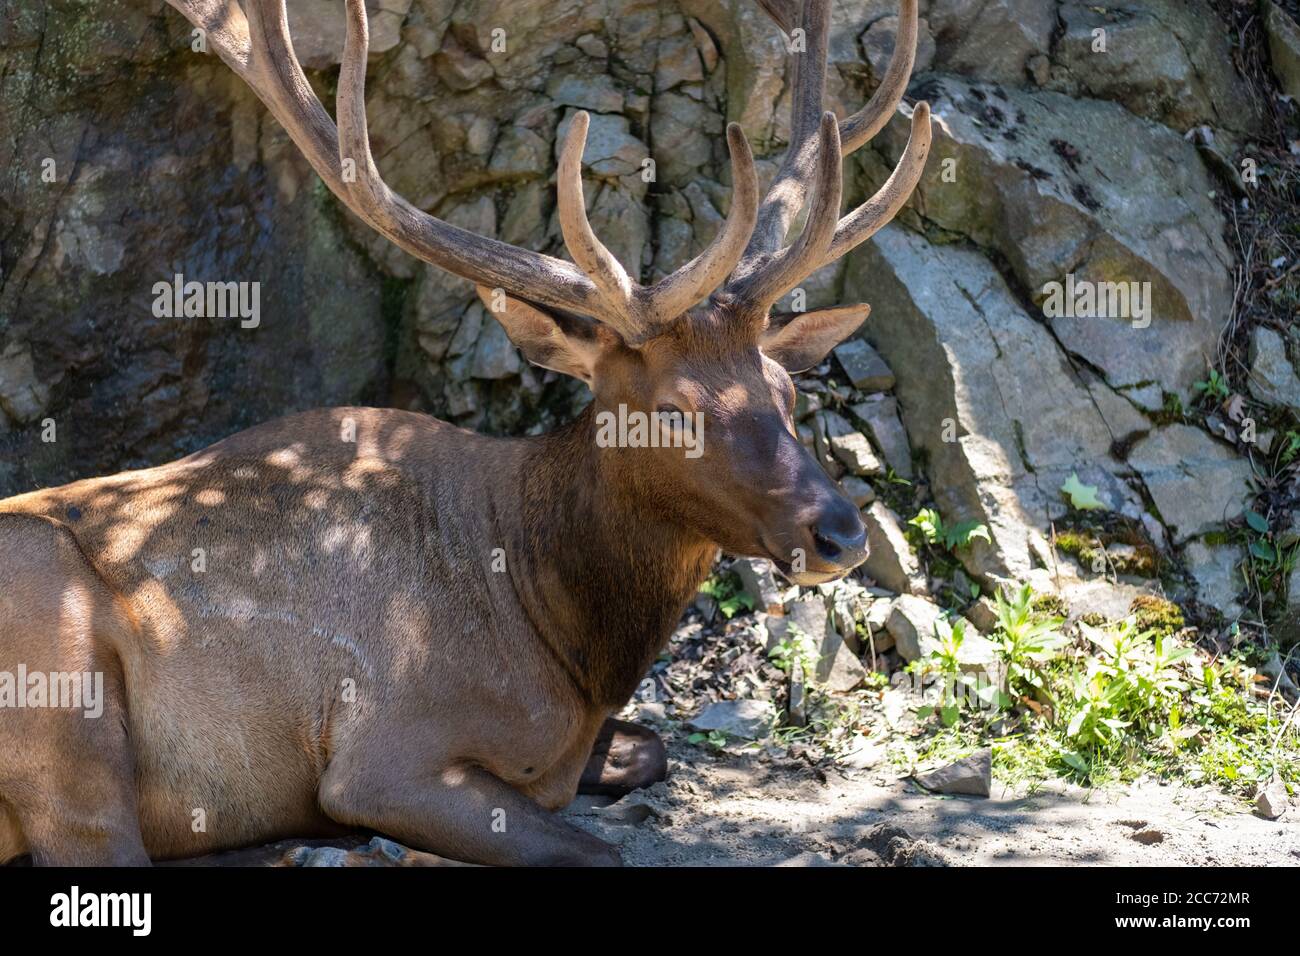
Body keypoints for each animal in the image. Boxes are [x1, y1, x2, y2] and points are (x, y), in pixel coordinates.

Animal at [0, 0, 925, 868]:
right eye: (672, 409)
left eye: (787, 391)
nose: (841, 533)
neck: (557, 639)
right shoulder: (381, 752)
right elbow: (591, 845)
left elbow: (652, 748)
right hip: (64, 689)